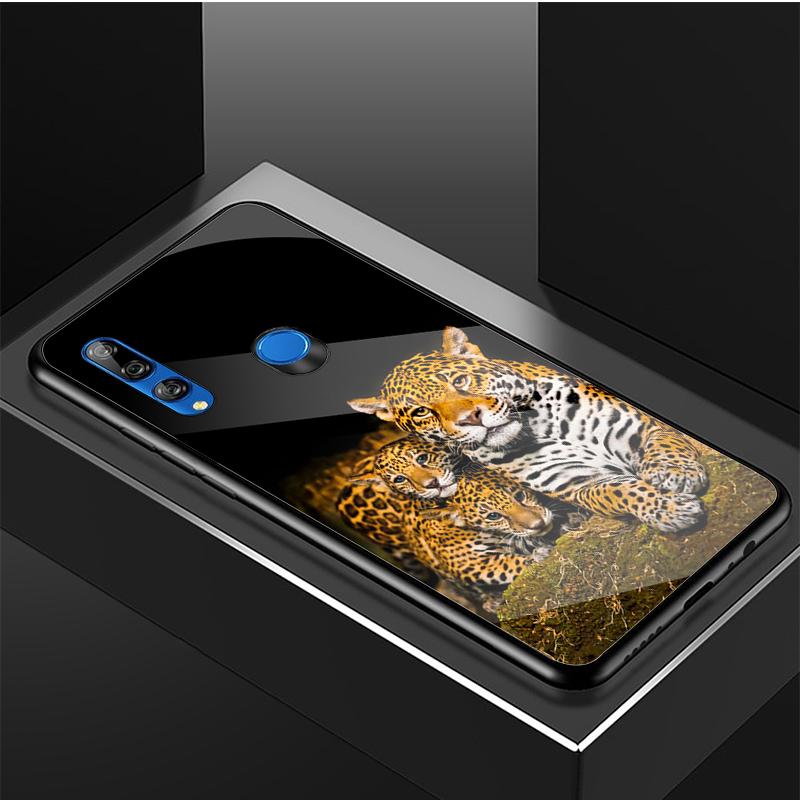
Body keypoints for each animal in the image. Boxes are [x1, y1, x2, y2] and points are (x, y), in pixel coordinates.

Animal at [349, 326, 708, 534]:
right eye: (422, 412)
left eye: (460, 380)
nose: (471, 418)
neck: (541, 429)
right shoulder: (580, 485)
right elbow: (620, 492)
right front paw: (670, 508)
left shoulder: (641, 424)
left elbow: (664, 443)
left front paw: (676, 473)